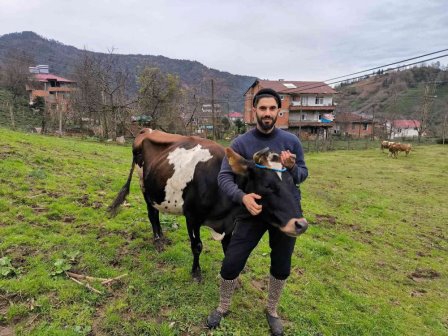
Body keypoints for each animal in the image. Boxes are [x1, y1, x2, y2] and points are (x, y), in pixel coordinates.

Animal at [107, 129, 308, 280]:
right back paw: (157, 240)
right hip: (144, 187)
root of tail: (147, 130)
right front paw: (196, 272)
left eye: (292, 182)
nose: (301, 224)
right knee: (152, 214)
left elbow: (228, 248)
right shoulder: (192, 217)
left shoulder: (230, 223)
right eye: (267, 185)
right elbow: (197, 246)